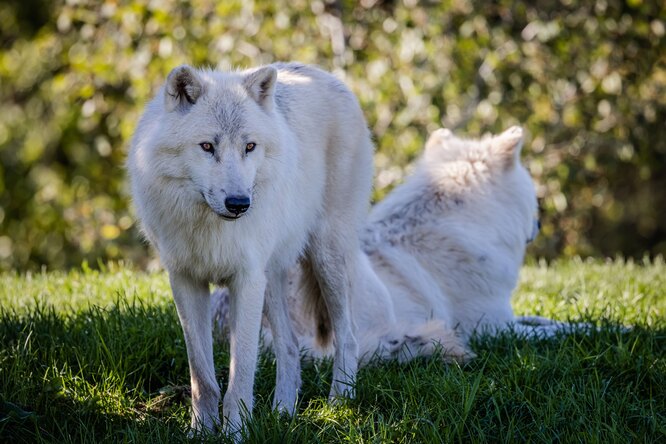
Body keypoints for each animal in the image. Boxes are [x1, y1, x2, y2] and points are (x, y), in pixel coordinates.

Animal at [126, 62, 374, 434]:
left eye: (250, 146)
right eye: (207, 146)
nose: (239, 203)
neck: (208, 226)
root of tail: (326, 75)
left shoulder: (245, 280)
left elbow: (240, 373)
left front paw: (234, 433)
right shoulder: (185, 280)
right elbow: (202, 376)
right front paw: (201, 431)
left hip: (324, 257)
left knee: (349, 335)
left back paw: (339, 405)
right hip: (271, 278)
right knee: (290, 346)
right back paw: (283, 411)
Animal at [214, 126, 572, 362]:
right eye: (533, 195)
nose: (540, 225)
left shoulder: (508, 318)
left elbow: (547, 321)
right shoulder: (494, 327)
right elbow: (552, 332)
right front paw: (581, 329)